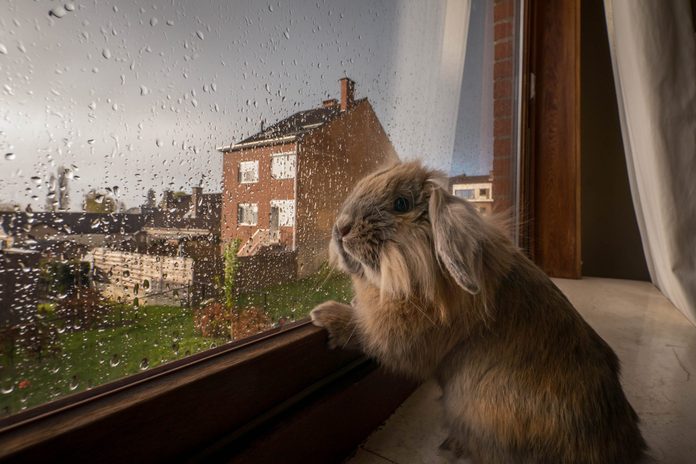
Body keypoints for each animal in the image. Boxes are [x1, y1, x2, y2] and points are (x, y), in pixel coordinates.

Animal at [310, 161, 648, 464]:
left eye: (401, 204)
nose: (341, 228)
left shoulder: (403, 335)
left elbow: (367, 333)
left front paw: (326, 315)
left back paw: (453, 446)